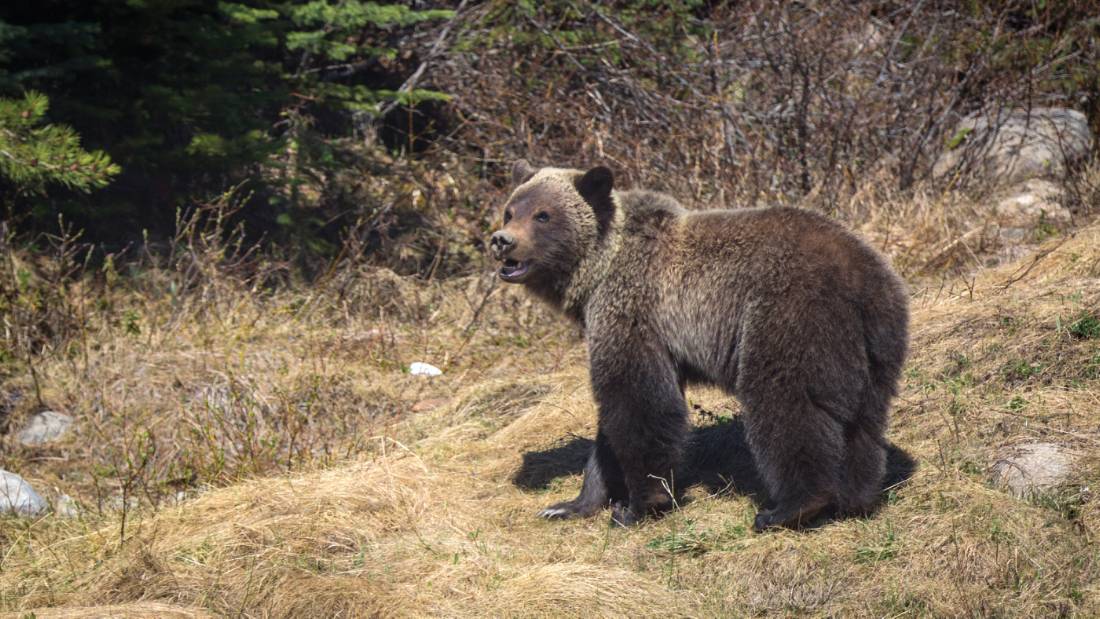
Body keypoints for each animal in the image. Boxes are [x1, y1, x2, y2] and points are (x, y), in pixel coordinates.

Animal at [492, 162, 910, 529]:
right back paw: (855, 498)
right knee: (863, 422)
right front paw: (570, 504)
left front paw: (639, 505)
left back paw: (789, 507)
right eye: (510, 211)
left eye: (543, 215)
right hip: (874, 346)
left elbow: (637, 403)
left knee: (787, 405)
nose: (501, 241)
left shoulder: (634, 311)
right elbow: (611, 428)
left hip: (789, 318)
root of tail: (865, 278)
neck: (597, 273)